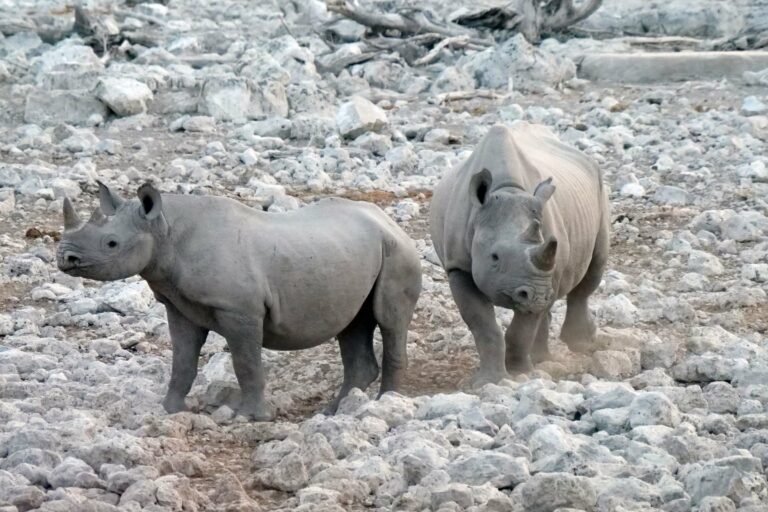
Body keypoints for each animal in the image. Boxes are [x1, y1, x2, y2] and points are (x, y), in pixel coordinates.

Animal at [57, 182, 422, 420]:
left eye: (111, 243)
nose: (65, 258)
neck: (165, 230)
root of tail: (390, 221)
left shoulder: (239, 309)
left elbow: (245, 363)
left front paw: (249, 418)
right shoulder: (179, 305)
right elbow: (182, 361)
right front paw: (169, 410)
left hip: (398, 252)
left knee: (390, 321)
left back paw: (385, 405)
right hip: (354, 253)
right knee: (352, 324)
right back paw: (335, 412)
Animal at [429, 123, 609, 383]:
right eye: (494, 257)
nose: (537, 296)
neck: (507, 190)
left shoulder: (540, 275)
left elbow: (522, 329)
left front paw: (520, 375)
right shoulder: (458, 266)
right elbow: (484, 326)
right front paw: (489, 381)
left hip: (599, 191)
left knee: (593, 268)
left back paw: (579, 347)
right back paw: (543, 360)